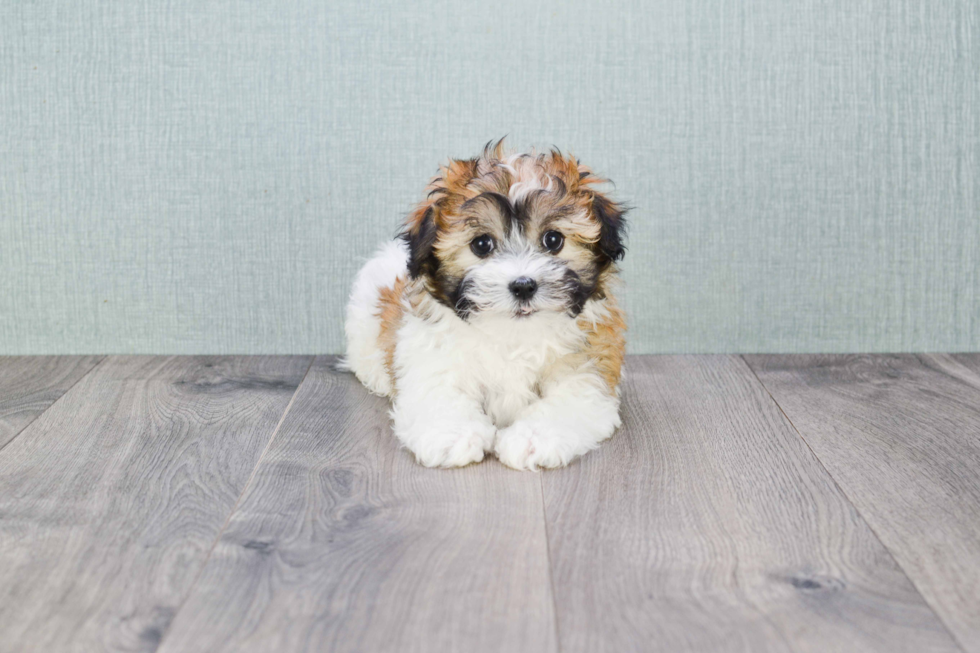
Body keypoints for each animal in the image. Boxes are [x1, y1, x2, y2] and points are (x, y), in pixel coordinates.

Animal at [344, 141, 628, 468]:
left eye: (553, 240)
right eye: (482, 244)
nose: (523, 285)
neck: (513, 336)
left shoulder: (588, 367)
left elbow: (568, 403)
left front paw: (533, 439)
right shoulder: (432, 361)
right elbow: (439, 394)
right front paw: (453, 436)